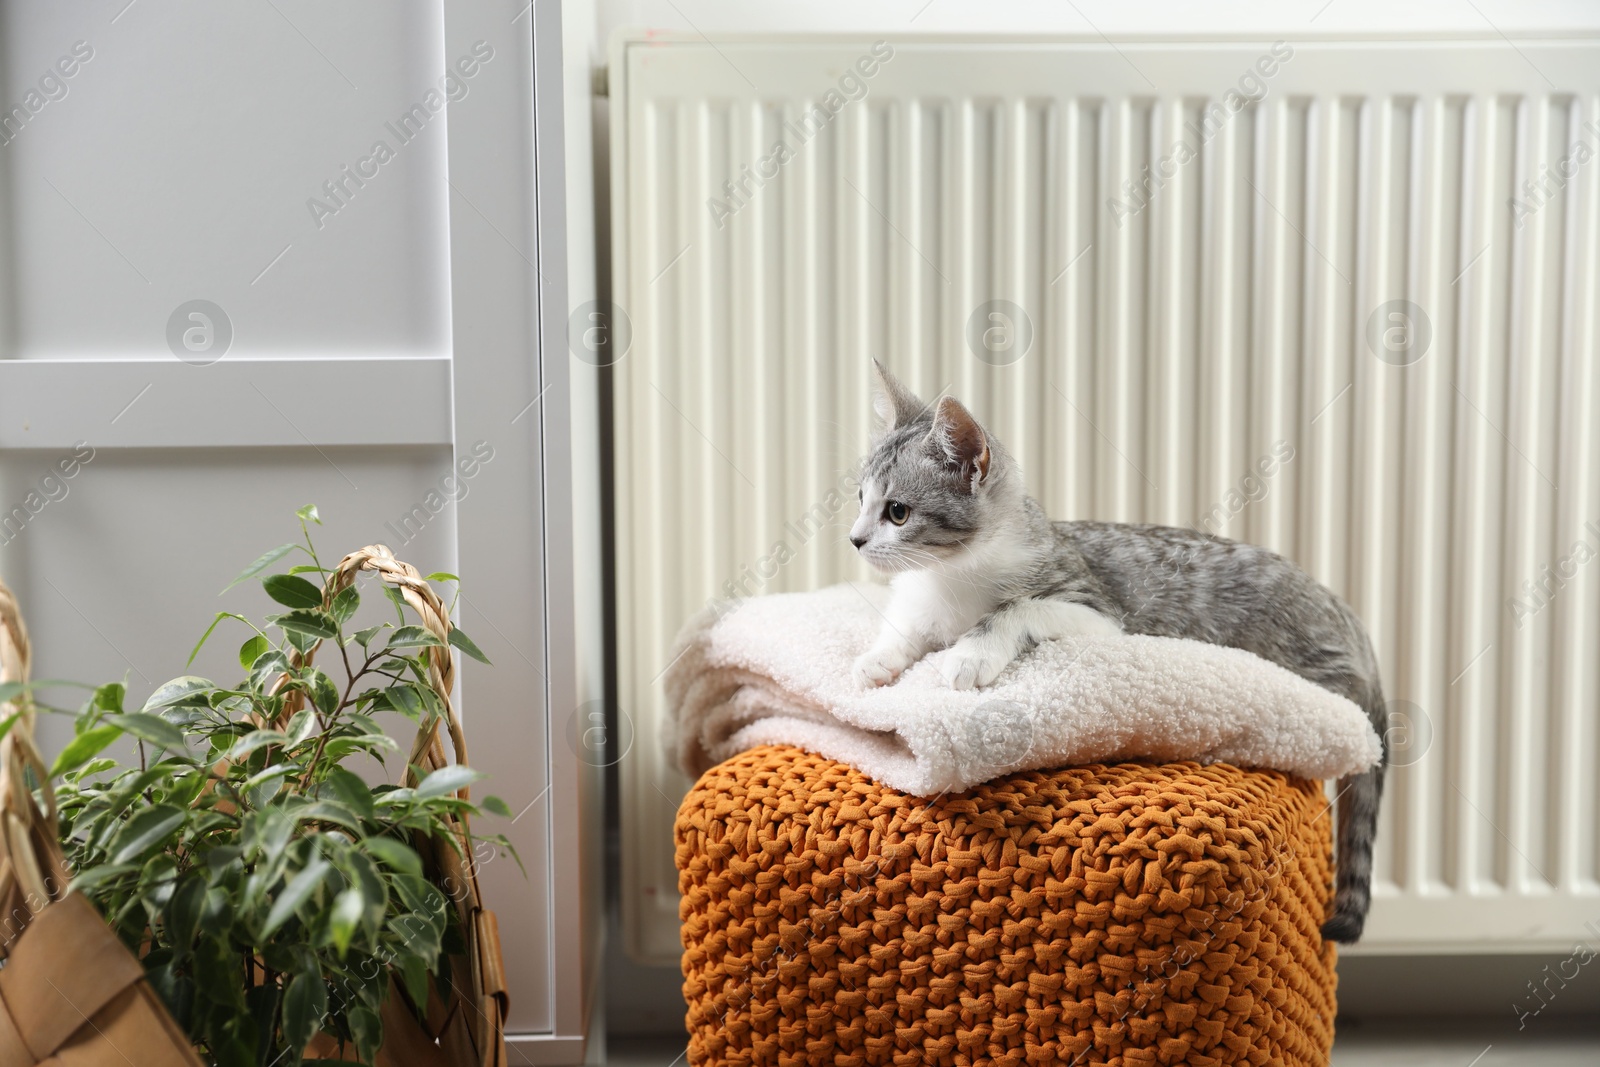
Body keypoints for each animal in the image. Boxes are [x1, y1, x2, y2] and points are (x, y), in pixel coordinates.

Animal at [851, 361, 1388, 940]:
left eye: (898, 512)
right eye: (859, 499)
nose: (855, 539)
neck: (950, 578)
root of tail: (1350, 620)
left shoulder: (1096, 610)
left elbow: (1018, 609)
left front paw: (971, 653)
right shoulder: (921, 604)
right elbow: (905, 628)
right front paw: (876, 660)